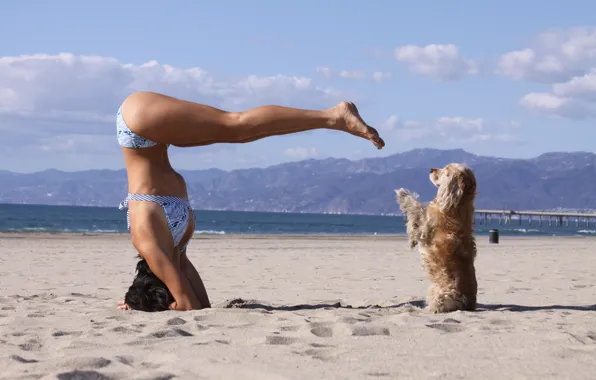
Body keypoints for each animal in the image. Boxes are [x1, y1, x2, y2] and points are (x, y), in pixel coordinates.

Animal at [398, 162, 478, 314]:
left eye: (445, 170)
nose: (431, 169)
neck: (457, 206)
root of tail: (468, 305)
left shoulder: (425, 227)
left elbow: (416, 207)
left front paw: (403, 194)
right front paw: (411, 241)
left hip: (437, 292)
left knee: (433, 308)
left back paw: (412, 308)